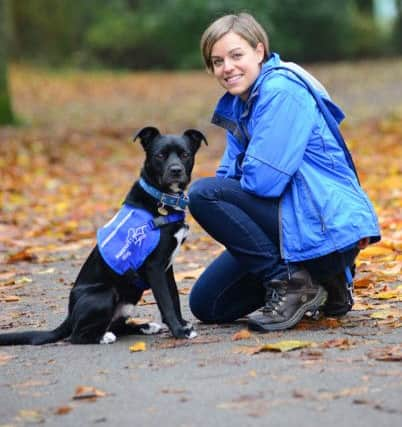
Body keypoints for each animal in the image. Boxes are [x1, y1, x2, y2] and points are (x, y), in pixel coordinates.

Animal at [0, 126, 207, 344]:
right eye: (160, 155)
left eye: (185, 155)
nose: (176, 170)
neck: (162, 200)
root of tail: (69, 316)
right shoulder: (155, 267)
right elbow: (166, 302)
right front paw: (179, 331)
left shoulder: (167, 267)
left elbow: (174, 296)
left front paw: (182, 324)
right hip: (104, 294)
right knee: (77, 336)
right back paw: (104, 337)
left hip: (128, 300)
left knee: (118, 326)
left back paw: (144, 327)